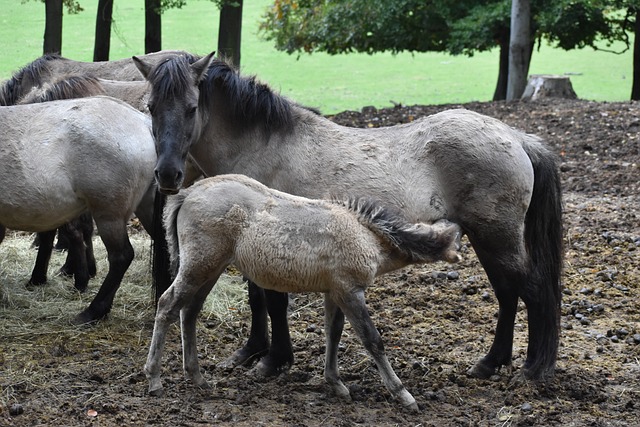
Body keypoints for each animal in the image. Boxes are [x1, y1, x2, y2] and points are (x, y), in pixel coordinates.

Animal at [132, 51, 564, 382]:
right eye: (150, 108)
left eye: (191, 108)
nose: (167, 174)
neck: (264, 145)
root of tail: (517, 137)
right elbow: (258, 298)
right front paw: (253, 352)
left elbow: (273, 300)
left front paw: (273, 360)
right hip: (487, 239)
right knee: (508, 294)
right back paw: (490, 364)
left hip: (498, 237)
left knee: (532, 291)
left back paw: (531, 369)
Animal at [148, 173, 462, 412]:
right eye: (458, 239)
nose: (461, 257)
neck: (366, 236)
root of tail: (188, 193)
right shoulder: (350, 292)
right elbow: (372, 340)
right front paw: (403, 395)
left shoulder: (334, 292)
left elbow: (332, 334)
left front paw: (336, 384)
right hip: (200, 265)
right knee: (167, 305)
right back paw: (154, 379)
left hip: (210, 269)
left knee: (189, 311)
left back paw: (198, 377)